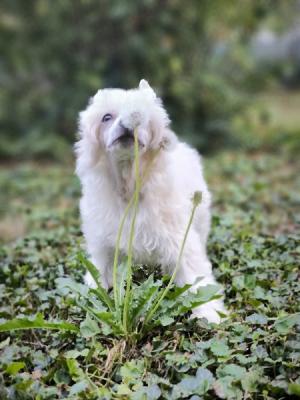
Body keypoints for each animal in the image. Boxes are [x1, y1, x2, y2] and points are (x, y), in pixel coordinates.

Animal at [75, 79, 225, 324]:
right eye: (106, 117)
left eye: (142, 119)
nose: (127, 126)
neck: (130, 188)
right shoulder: (104, 248)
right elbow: (100, 273)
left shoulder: (179, 240)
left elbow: (197, 279)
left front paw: (208, 312)